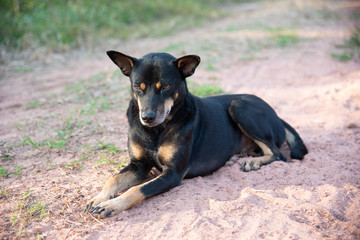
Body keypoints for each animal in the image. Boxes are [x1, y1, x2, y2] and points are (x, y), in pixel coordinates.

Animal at [86, 51, 308, 218]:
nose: (147, 117)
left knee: (278, 153)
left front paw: (113, 205)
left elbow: (136, 189)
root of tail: (277, 114)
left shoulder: (173, 173)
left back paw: (254, 161)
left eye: (165, 86)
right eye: (137, 86)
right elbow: (113, 180)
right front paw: (99, 198)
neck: (158, 129)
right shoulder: (139, 165)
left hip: (240, 105)